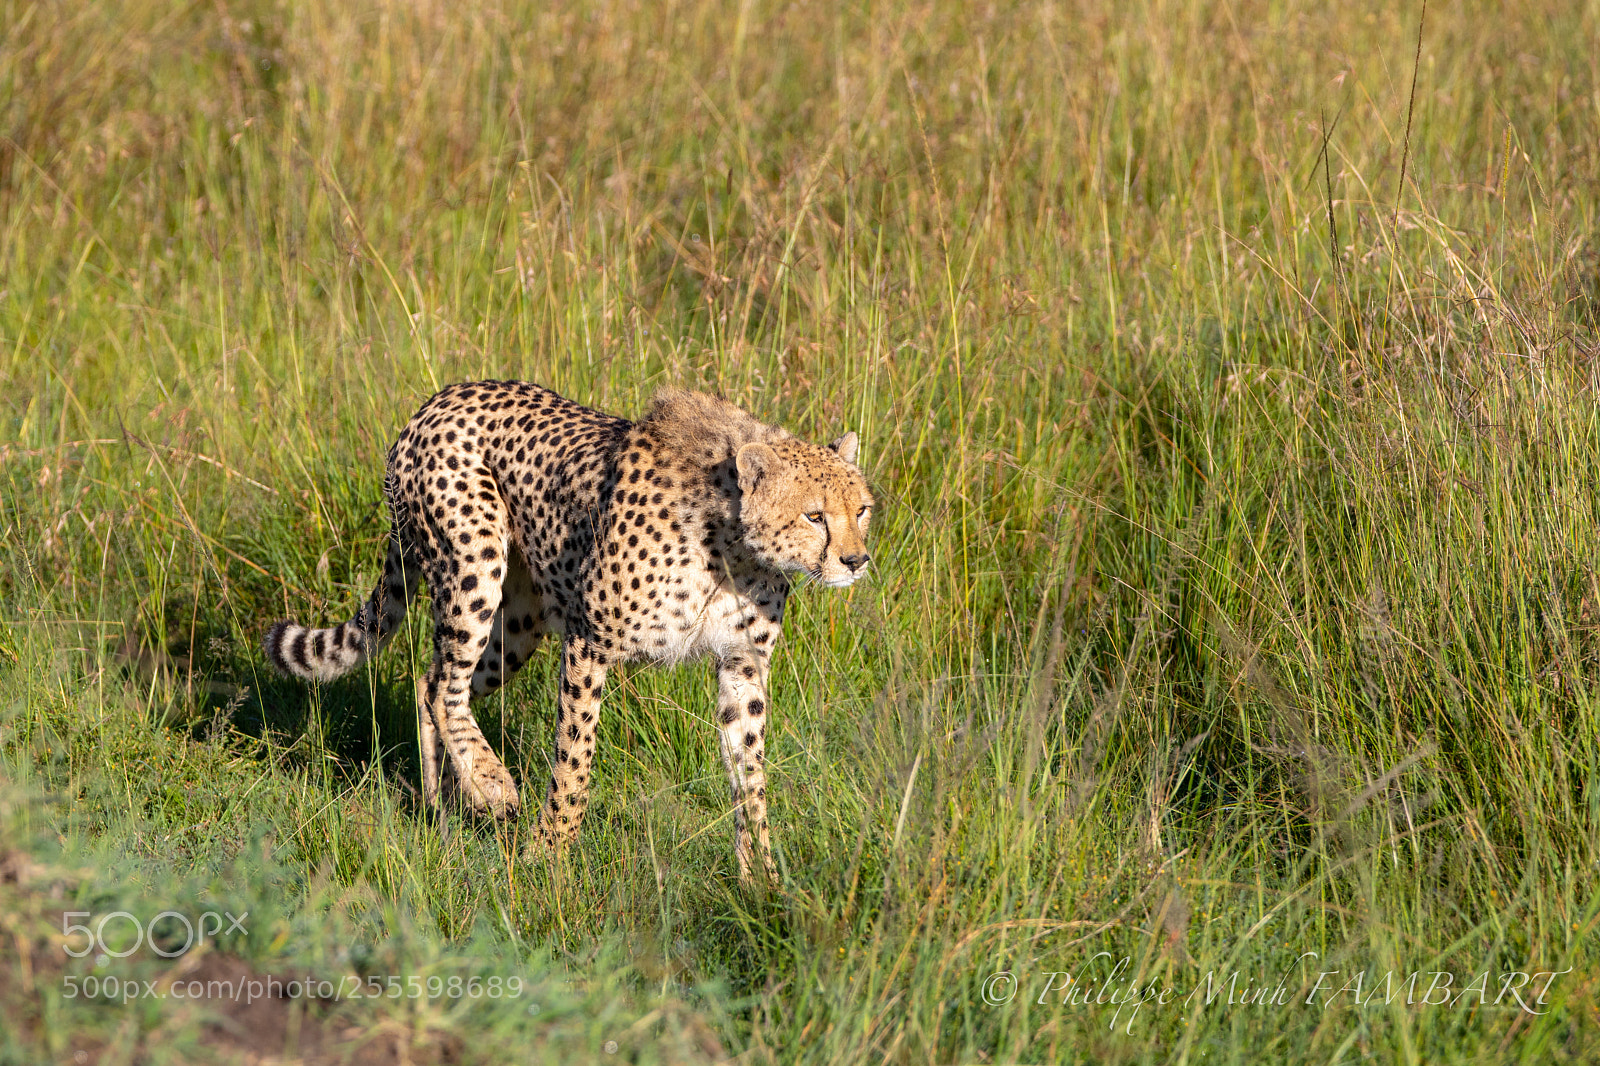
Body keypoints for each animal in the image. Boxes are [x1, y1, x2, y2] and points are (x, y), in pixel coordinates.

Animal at [263, 380, 873, 880]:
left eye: (862, 509)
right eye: (814, 515)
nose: (856, 561)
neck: (733, 545)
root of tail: (438, 399)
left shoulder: (743, 662)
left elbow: (750, 772)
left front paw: (761, 879)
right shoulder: (589, 639)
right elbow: (575, 756)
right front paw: (550, 852)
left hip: (519, 624)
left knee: (430, 678)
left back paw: (448, 799)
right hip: (472, 562)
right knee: (445, 685)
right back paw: (491, 783)